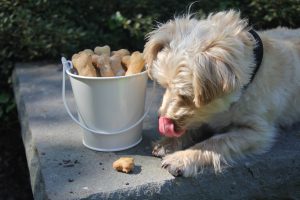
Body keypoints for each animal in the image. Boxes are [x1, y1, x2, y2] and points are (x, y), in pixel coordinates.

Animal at [142, 10, 300, 177]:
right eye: (164, 86)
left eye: (185, 96)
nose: (160, 119)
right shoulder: (201, 117)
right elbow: (191, 127)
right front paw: (167, 143)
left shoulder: (257, 131)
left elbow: (214, 142)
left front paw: (181, 158)